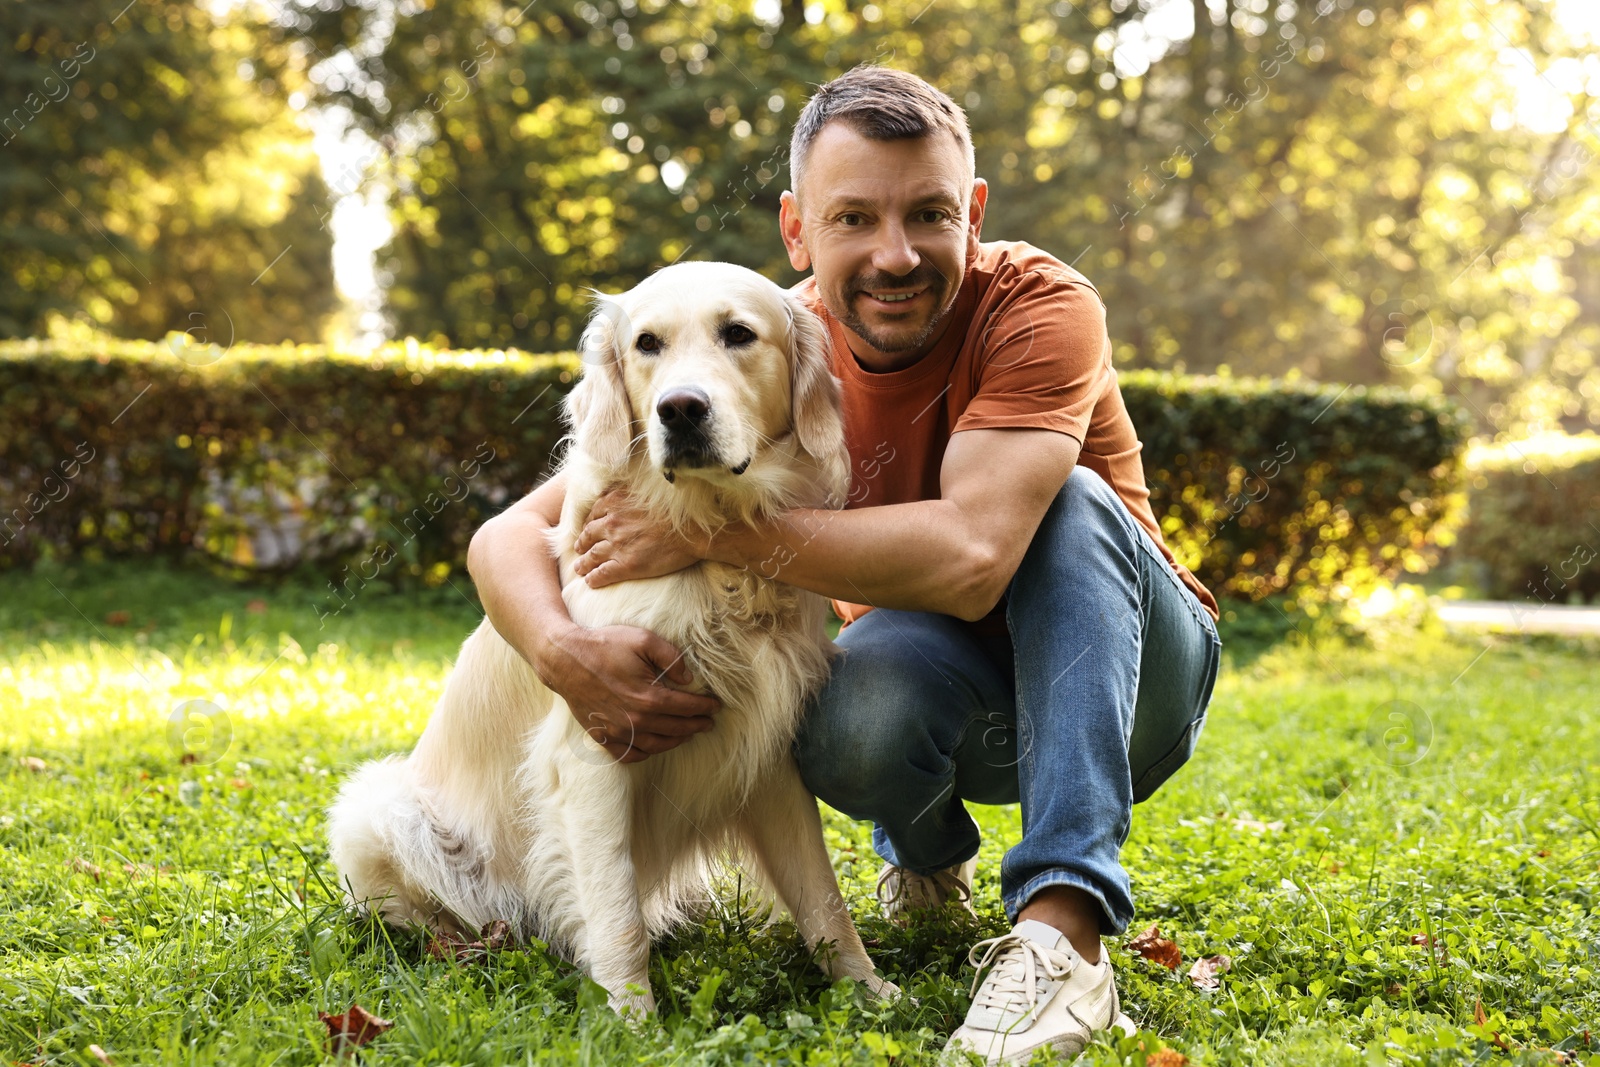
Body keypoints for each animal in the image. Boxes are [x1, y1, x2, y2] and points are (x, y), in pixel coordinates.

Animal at [328, 262, 902, 1017]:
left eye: (738, 334)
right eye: (646, 343)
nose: (680, 410)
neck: (707, 542)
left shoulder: (770, 749)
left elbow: (820, 890)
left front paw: (868, 990)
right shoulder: (596, 747)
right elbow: (614, 906)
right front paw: (632, 1018)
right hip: (377, 809)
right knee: (420, 918)